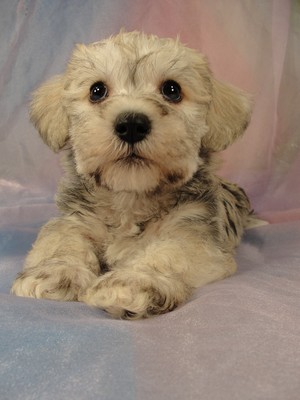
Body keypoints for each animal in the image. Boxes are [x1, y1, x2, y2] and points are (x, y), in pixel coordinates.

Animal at [12, 30, 254, 318]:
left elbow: (167, 253)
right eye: (97, 91)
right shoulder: (76, 219)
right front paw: (56, 271)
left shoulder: (193, 233)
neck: (130, 197)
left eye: (172, 90)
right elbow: (63, 240)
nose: (131, 125)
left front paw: (133, 282)